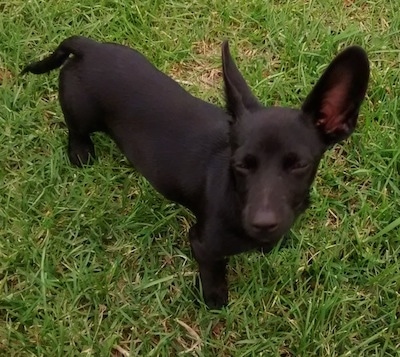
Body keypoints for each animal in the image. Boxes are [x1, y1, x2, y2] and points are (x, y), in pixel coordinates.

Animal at [22, 37, 368, 308]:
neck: (233, 194)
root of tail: (88, 46)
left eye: (299, 165)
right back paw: (80, 154)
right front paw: (214, 300)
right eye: (241, 164)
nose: (263, 223)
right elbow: (213, 273)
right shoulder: (203, 244)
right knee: (76, 131)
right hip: (80, 114)